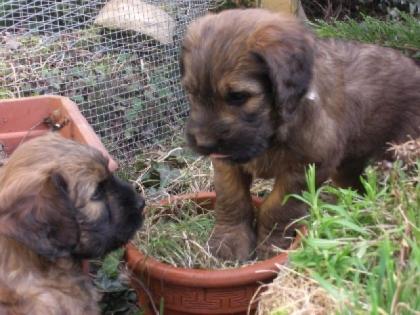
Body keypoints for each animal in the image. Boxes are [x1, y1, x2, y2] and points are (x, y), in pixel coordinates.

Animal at [182, 9, 420, 262]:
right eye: (191, 92)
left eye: (238, 96)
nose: (204, 143)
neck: (272, 133)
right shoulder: (228, 162)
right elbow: (232, 199)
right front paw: (229, 240)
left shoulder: (307, 166)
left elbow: (277, 208)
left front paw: (273, 245)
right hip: (348, 164)